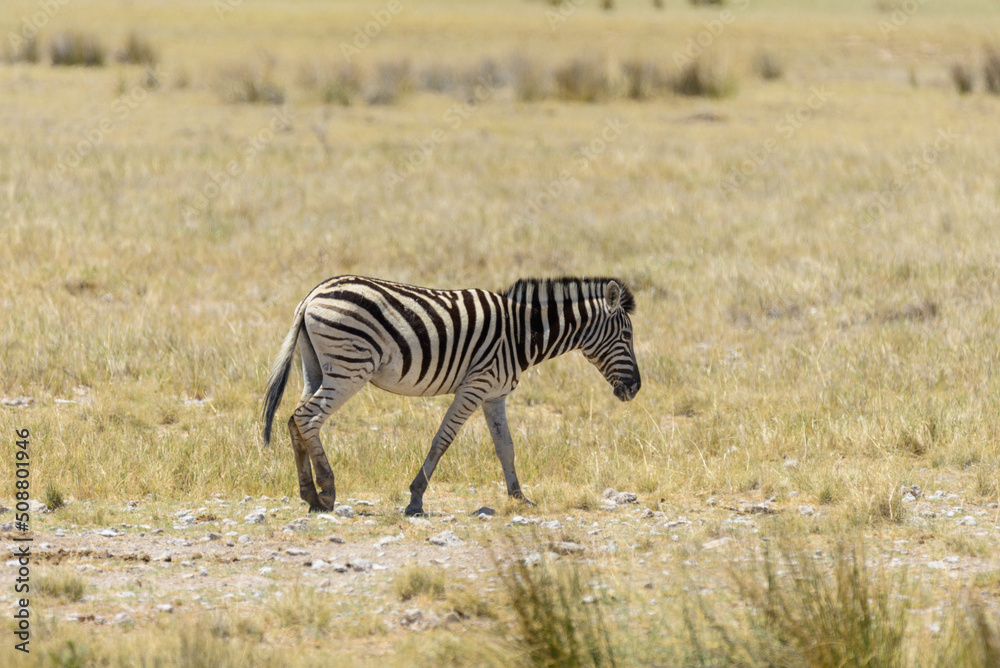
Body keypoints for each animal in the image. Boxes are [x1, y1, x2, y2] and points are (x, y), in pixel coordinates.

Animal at [262, 275, 641, 516]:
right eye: (626, 335)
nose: (635, 388)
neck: (521, 333)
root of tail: (312, 295)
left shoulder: (494, 394)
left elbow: (506, 447)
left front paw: (519, 498)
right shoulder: (476, 385)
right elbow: (442, 439)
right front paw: (415, 499)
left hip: (316, 366)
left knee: (294, 418)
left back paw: (309, 495)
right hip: (350, 368)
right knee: (308, 418)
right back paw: (326, 492)